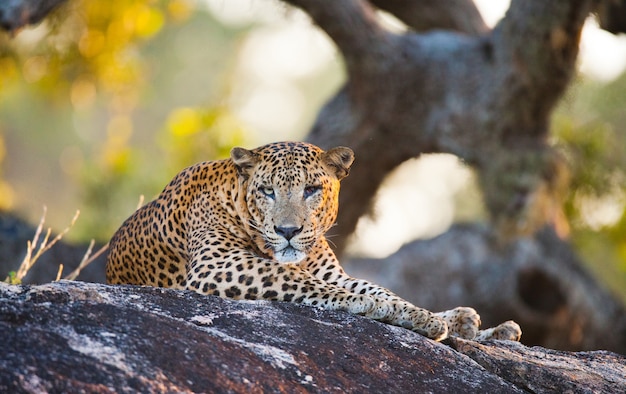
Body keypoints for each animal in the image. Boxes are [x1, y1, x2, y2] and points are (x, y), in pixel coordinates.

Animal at [105, 142, 520, 342]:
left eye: (311, 190)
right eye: (267, 191)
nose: (288, 231)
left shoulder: (330, 271)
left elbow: (378, 288)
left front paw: (420, 316)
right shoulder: (217, 265)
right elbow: (299, 280)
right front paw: (378, 309)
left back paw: (477, 324)